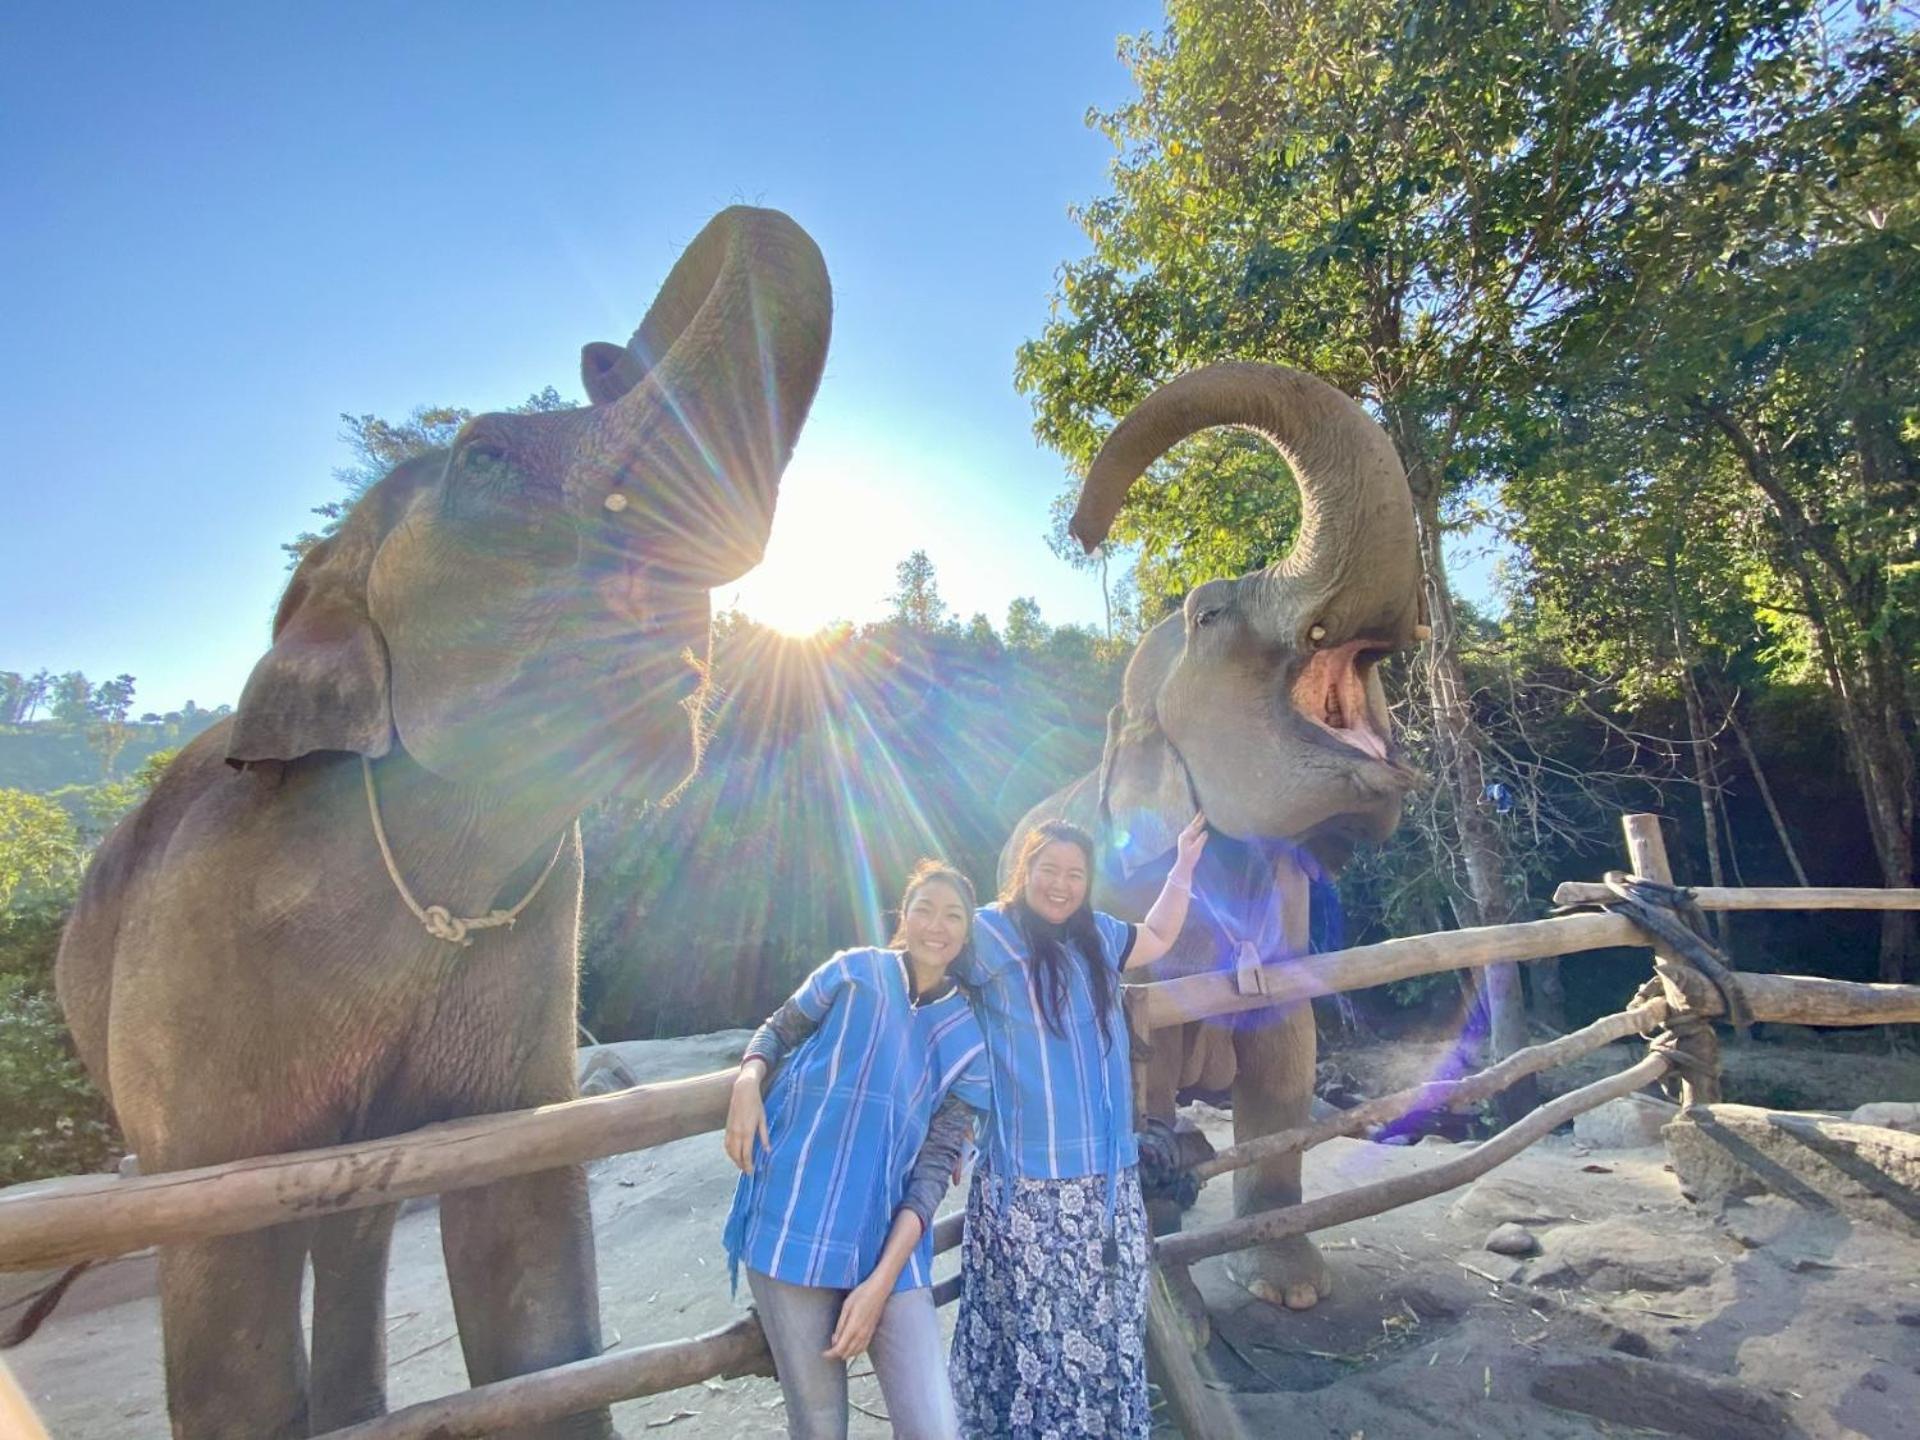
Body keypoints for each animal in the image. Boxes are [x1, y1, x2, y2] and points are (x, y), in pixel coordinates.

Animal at [52, 205, 829, 1440]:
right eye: (486, 460)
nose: (600, 349)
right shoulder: (202, 958)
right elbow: (228, 1285)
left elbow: (527, 1249)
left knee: (361, 1219)